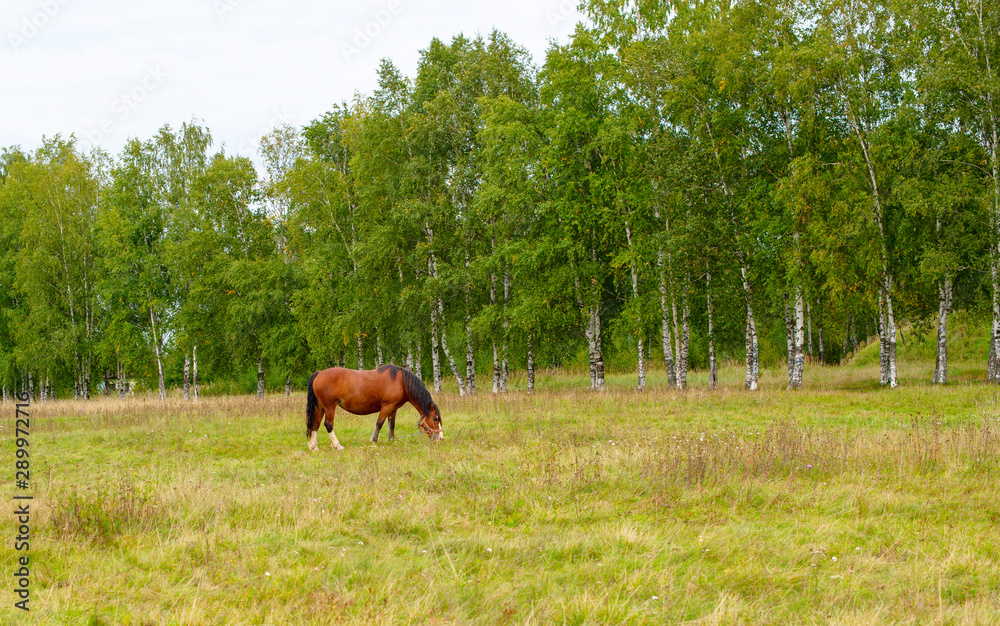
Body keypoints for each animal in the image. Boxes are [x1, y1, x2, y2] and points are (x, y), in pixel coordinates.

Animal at [305, 364, 443, 450]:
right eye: (435, 418)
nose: (440, 438)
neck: (401, 382)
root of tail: (318, 374)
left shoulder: (394, 408)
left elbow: (391, 424)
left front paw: (391, 440)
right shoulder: (387, 406)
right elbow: (379, 423)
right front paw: (373, 440)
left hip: (320, 407)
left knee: (315, 424)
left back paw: (314, 446)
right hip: (329, 407)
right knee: (328, 424)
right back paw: (337, 446)